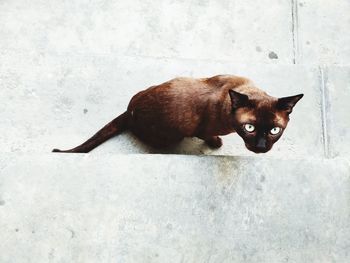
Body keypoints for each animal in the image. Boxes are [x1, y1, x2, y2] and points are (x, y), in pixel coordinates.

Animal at [52, 75, 304, 155]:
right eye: (249, 128)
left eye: (274, 131)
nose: (260, 147)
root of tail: (131, 112)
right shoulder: (202, 131)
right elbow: (209, 138)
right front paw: (216, 144)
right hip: (172, 136)